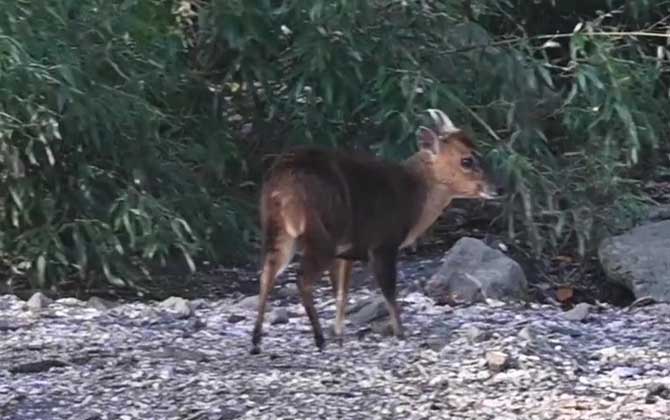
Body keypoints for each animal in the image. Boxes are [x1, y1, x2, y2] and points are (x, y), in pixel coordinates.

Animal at [253, 108, 504, 354]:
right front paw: (400, 332)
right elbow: (388, 289)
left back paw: (257, 342)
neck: (413, 196)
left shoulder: (347, 251)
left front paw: (339, 334)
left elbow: (342, 292)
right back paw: (318, 339)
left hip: (278, 229)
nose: (498, 188)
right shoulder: (383, 243)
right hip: (321, 232)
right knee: (301, 278)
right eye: (466, 160)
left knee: (267, 273)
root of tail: (283, 182)